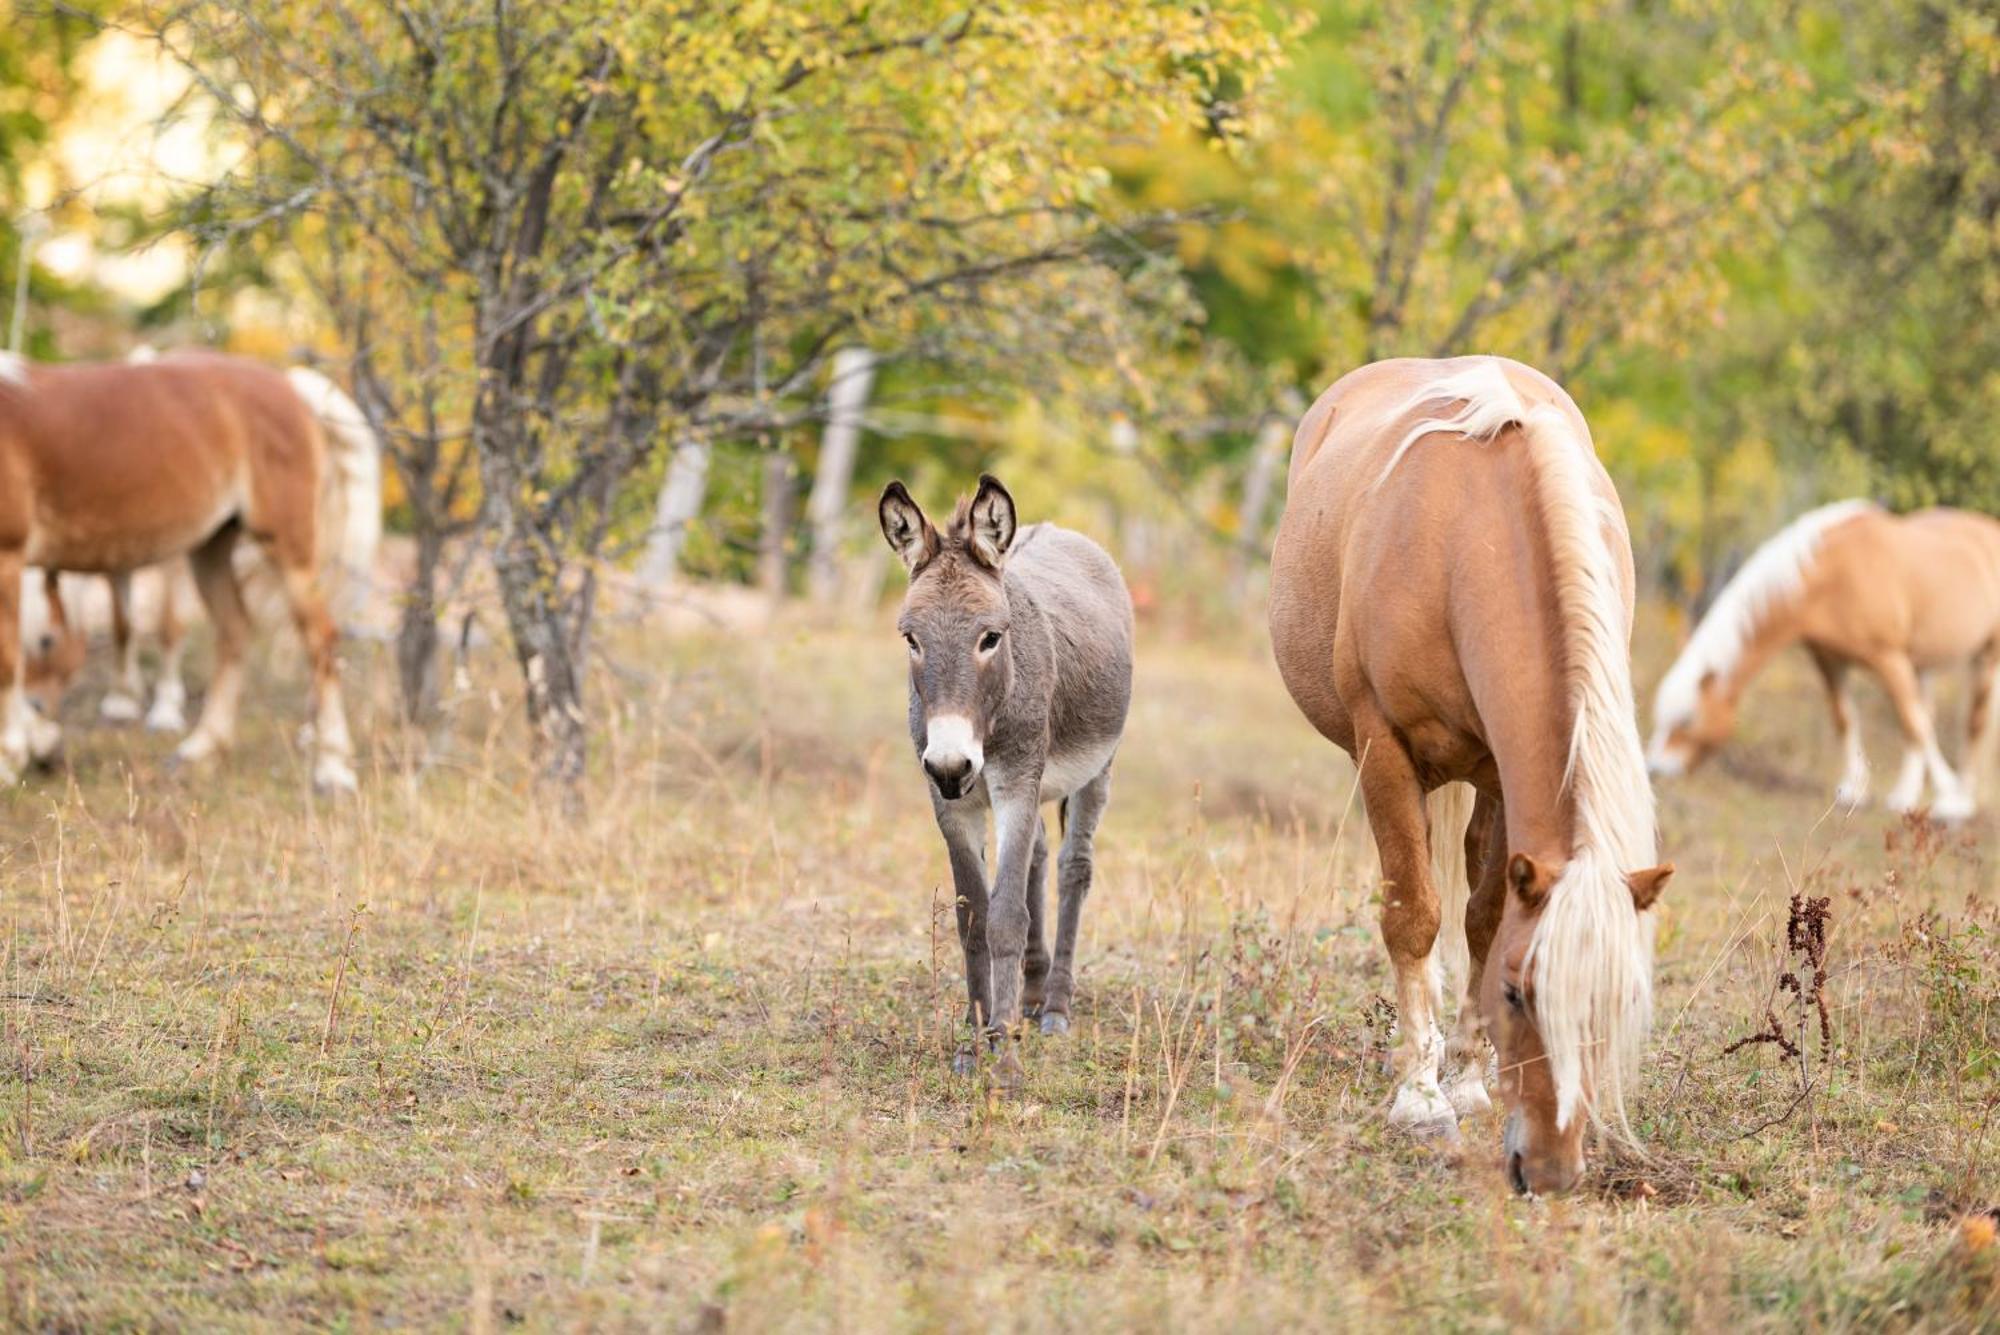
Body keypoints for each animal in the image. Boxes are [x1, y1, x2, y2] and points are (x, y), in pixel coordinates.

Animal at [0, 351, 368, 791]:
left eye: (47, 641)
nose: (39, 706)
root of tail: (287, 384)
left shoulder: (7, 556)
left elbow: (5, 661)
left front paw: (9, 759)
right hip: (210, 547)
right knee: (234, 631)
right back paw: (203, 749)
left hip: (287, 549)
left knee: (319, 640)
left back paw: (332, 770)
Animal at [1264, 357, 1672, 1199]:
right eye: (1519, 993)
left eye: (1616, 1006)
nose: (1550, 1171)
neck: (1468, 542)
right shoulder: (1384, 747)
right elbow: (1414, 914)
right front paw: (1420, 1101)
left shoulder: (1501, 775)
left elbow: (1483, 917)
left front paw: (1467, 1080)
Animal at [1640, 499, 2000, 819]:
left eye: (1688, 720)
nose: (1654, 769)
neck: (1832, 573)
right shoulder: (1829, 660)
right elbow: (1846, 718)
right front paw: (1853, 789)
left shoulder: (1887, 657)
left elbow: (1914, 723)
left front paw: (1944, 796)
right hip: (1922, 663)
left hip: (1985, 655)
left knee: (1973, 723)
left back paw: (1959, 799)